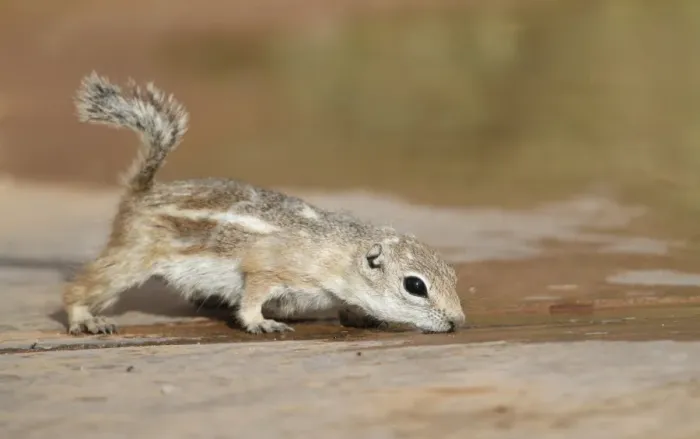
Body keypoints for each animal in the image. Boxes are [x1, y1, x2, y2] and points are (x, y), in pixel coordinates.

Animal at [63, 71, 466, 335]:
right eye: (415, 286)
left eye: (452, 274)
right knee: (82, 287)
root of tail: (143, 190)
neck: (338, 252)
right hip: (133, 257)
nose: (457, 321)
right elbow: (252, 296)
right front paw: (262, 322)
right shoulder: (268, 268)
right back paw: (85, 318)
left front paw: (362, 315)